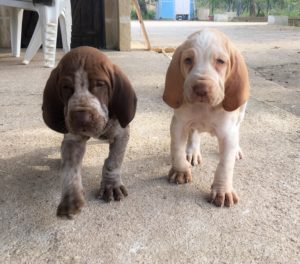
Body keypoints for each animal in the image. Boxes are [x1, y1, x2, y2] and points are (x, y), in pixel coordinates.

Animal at [163, 28, 250, 206]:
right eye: (188, 60)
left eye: (221, 61)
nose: (201, 89)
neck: (205, 108)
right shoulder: (178, 125)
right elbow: (176, 149)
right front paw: (180, 171)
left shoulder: (228, 134)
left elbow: (225, 164)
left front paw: (223, 190)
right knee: (195, 133)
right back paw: (192, 151)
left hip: (241, 113)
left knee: (238, 127)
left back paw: (237, 150)